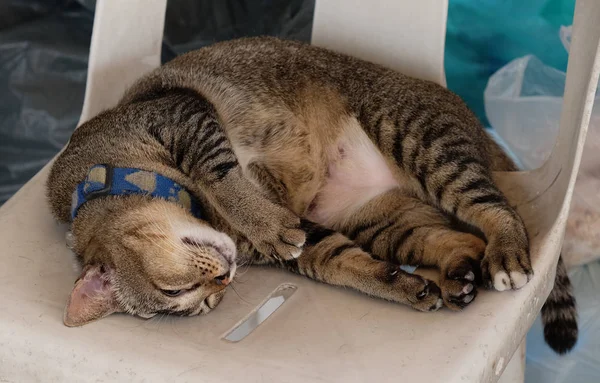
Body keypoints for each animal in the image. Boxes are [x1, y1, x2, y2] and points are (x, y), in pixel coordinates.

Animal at [45, 36, 576, 354]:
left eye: (176, 293)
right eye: (201, 304)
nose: (224, 279)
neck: (104, 168)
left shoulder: (184, 116)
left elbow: (221, 174)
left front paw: (261, 219)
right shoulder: (312, 236)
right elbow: (341, 263)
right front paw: (400, 287)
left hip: (420, 138)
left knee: (497, 209)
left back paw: (505, 254)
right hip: (382, 220)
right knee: (454, 239)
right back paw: (456, 276)